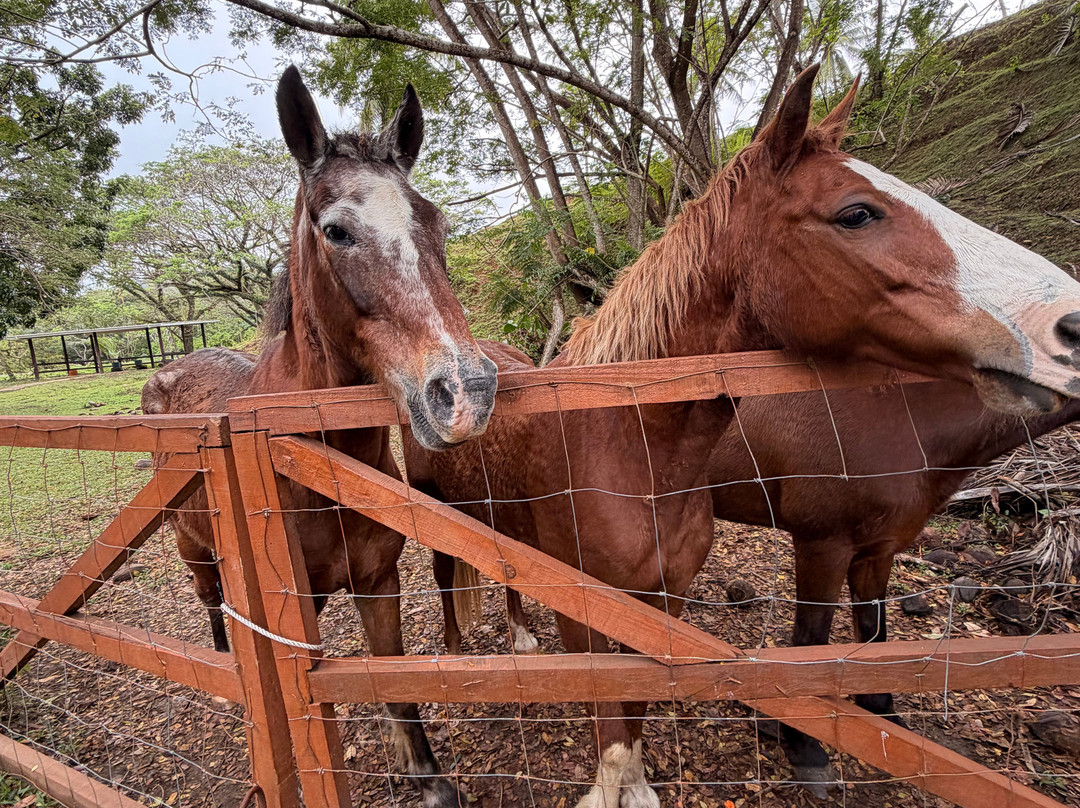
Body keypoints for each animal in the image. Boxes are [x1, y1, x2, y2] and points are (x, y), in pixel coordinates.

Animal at [141, 66, 496, 808]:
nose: (467, 392)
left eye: (436, 223)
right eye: (336, 231)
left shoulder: (378, 584)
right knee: (212, 602)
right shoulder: (292, 612)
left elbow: (396, 688)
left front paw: (424, 776)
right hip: (190, 545)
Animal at [404, 64, 1080, 808]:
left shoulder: (672, 598)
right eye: (856, 212)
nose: (1069, 326)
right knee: (445, 578)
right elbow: (626, 714)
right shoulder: (786, 554)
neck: (626, 448)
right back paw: (456, 654)